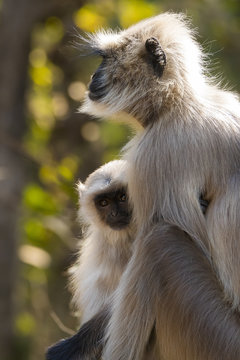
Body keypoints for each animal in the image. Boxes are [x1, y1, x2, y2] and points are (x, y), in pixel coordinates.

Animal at [79, 11, 240, 360]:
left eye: (106, 59)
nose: (93, 78)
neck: (178, 103)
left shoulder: (158, 153)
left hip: (214, 336)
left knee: (160, 242)